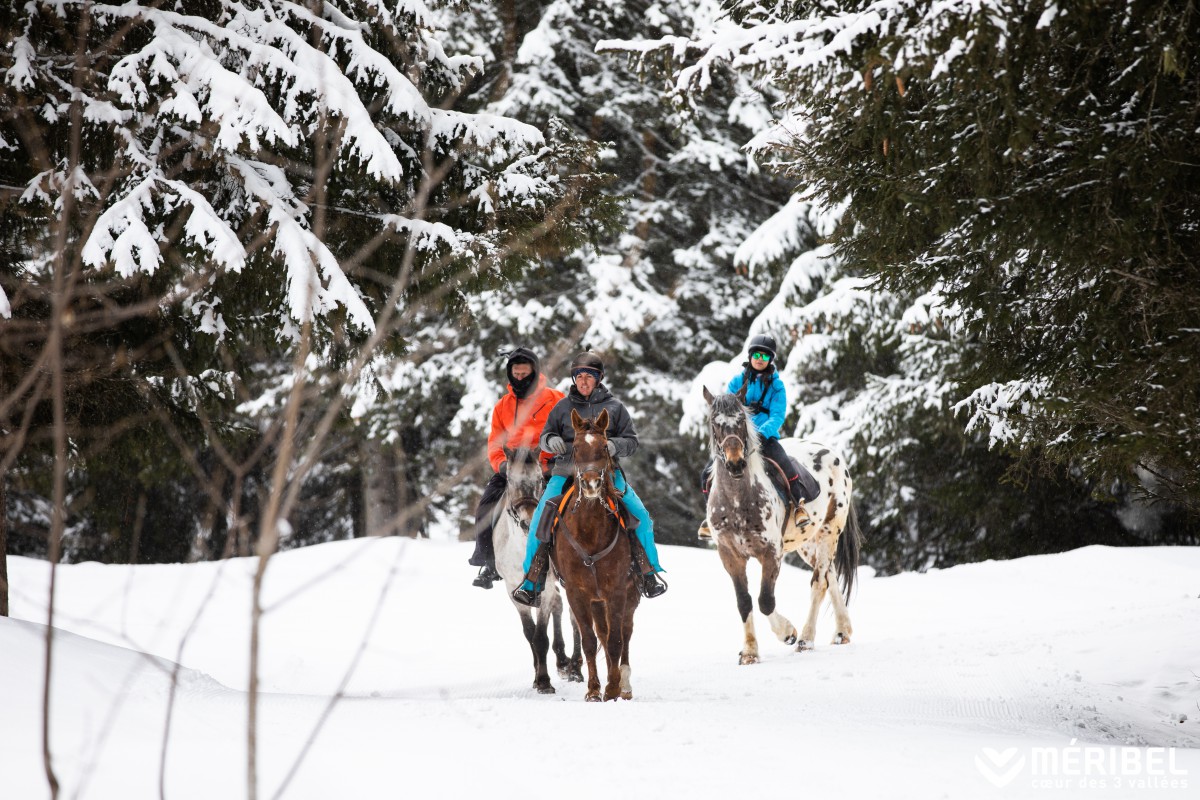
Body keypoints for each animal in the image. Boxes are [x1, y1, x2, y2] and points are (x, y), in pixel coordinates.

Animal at [489, 448, 578, 690]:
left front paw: (544, 682)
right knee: (560, 604)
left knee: (575, 616)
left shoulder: (544, 588)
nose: (528, 523)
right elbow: (530, 634)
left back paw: (575, 668)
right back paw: (563, 662)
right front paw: (538, 676)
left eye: (539, 480)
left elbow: (540, 637)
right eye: (510, 479)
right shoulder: (514, 591)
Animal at [552, 410, 643, 705]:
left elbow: (616, 641)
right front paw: (593, 689)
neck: (589, 531)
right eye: (575, 449)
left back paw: (624, 684)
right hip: (595, 601)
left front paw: (612, 688)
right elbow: (591, 641)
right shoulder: (577, 594)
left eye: (604, 447)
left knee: (624, 633)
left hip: (628, 596)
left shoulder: (617, 591)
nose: (591, 484)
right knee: (603, 633)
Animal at [700, 388, 864, 662]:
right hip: (808, 543)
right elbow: (744, 601)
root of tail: (834, 454)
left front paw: (788, 633)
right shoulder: (730, 556)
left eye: (742, 420)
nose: (735, 463)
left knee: (819, 582)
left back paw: (806, 639)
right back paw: (842, 632)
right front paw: (749, 652)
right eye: (715, 423)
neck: (737, 499)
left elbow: (765, 600)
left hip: (829, 532)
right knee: (830, 576)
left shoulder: (771, 553)